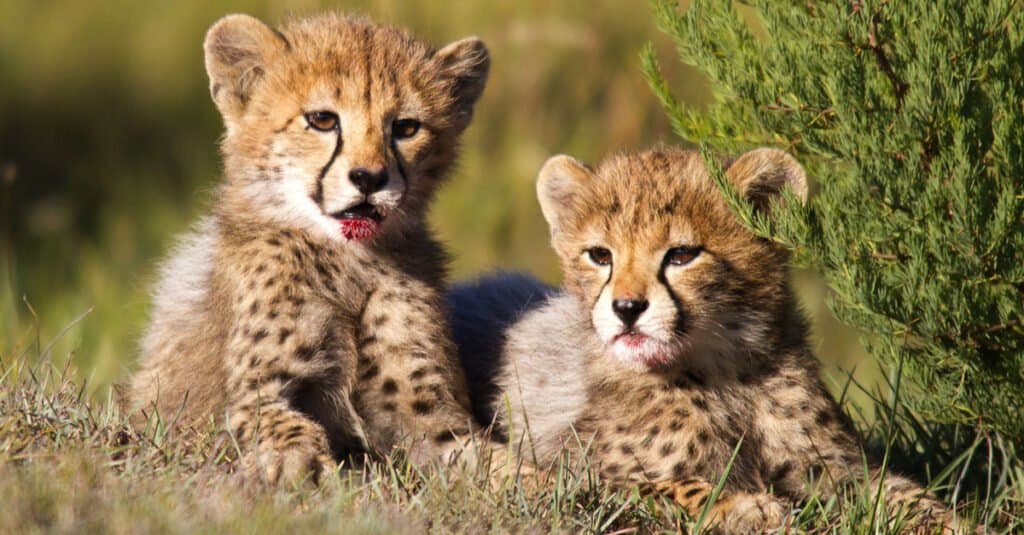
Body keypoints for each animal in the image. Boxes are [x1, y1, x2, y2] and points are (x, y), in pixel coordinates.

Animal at [127, 12, 490, 485]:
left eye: (406, 128)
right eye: (322, 120)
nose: (369, 178)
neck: (347, 259)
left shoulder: (427, 415)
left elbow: (490, 458)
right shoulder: (256, 393)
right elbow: (284, 424)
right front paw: (295, 464)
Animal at [451, 147, 958, 532]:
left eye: (681, 255)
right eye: (599, 256)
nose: (626, 308)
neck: (724, 371)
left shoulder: (831, 468)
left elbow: (897, 491)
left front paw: (948, 519)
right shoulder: (577, 476)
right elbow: (669, 484)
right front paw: (740, 505)